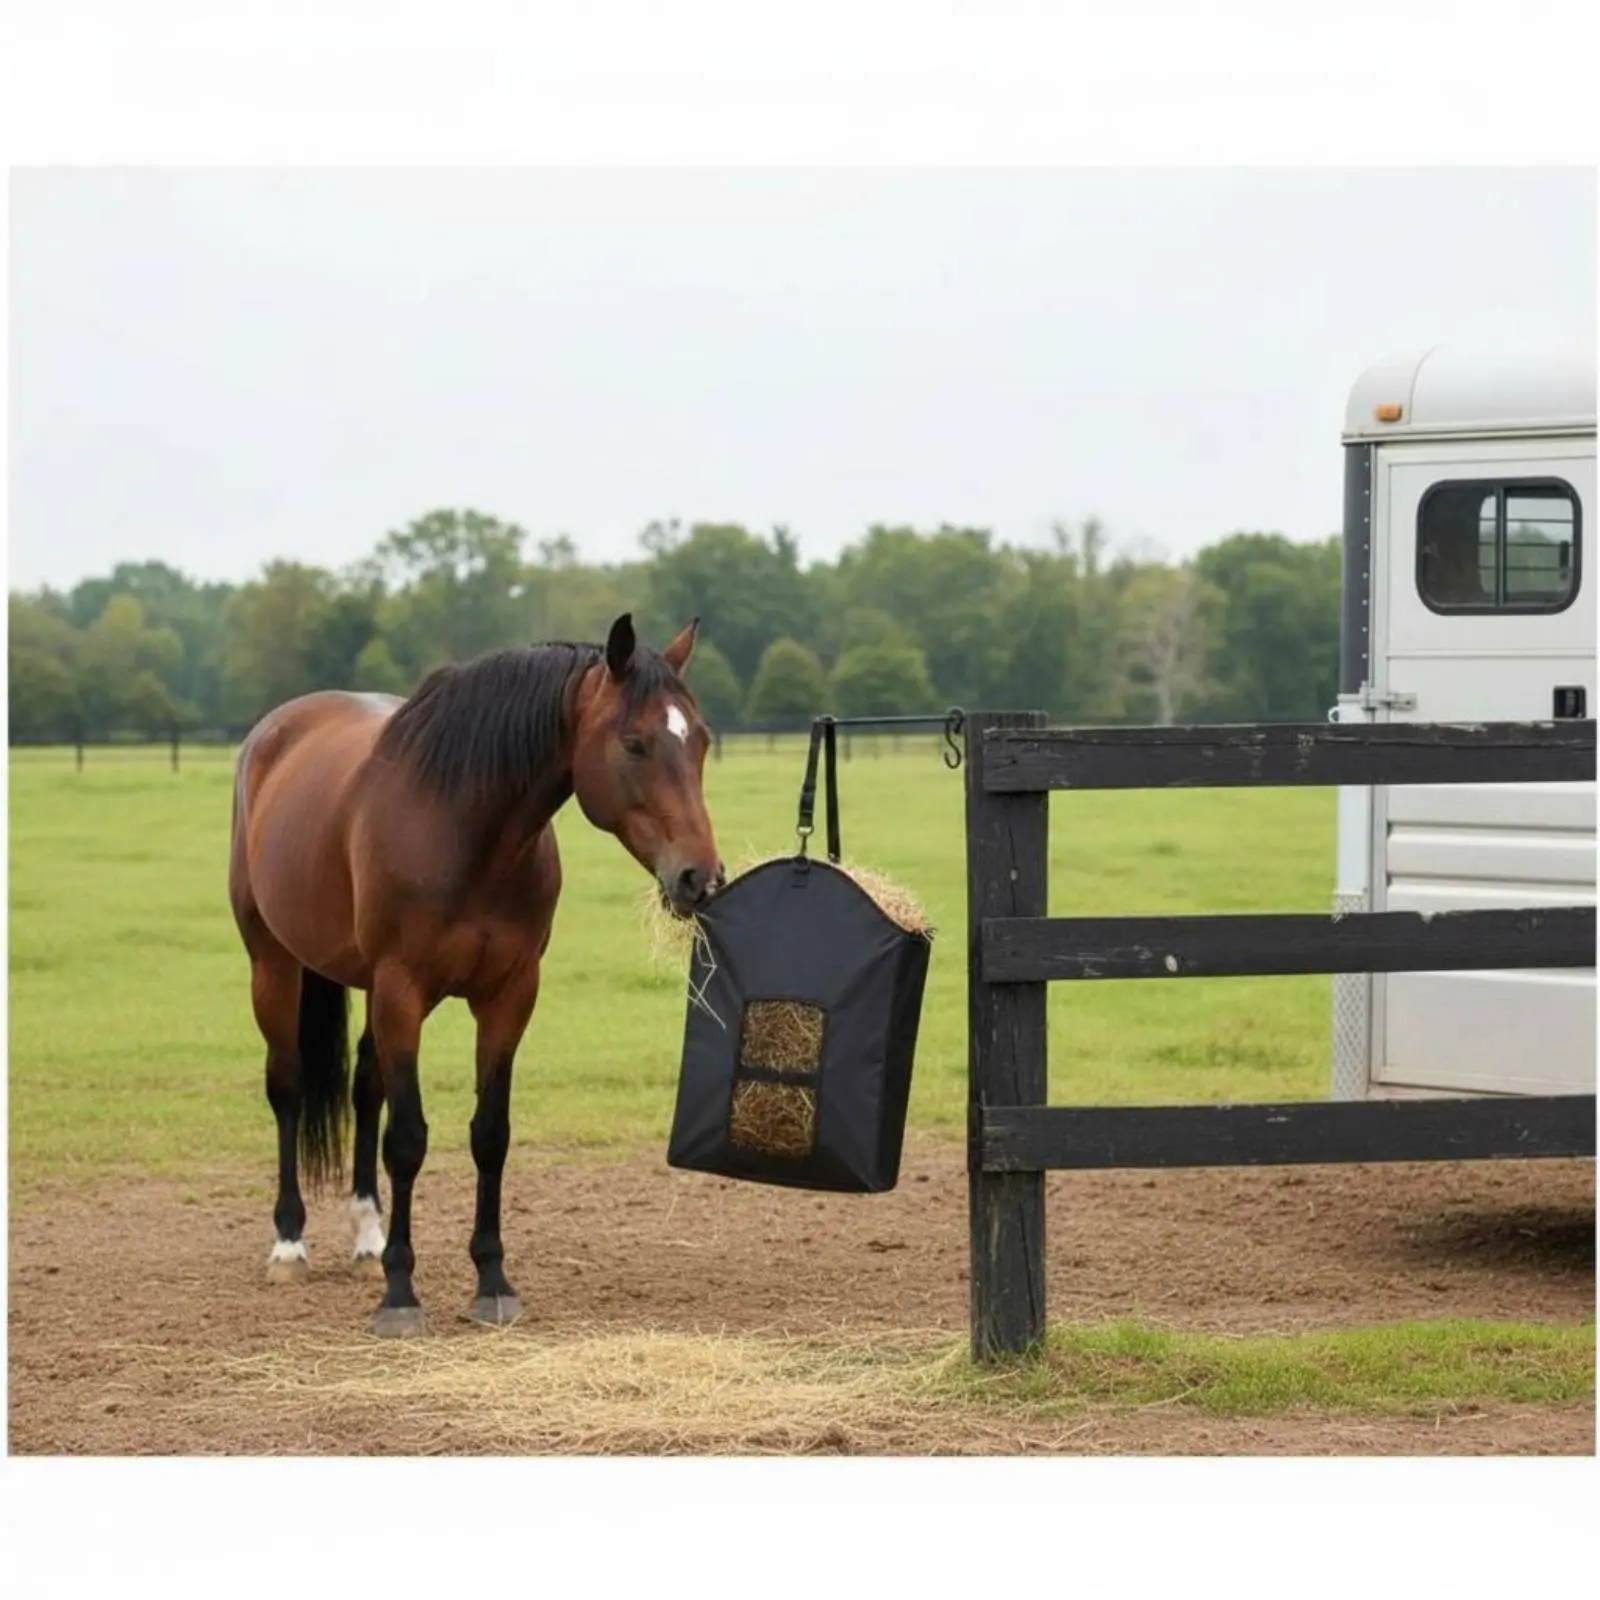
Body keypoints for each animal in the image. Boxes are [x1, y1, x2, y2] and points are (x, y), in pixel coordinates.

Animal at [227, 613, 724, 1336]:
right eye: (634, 743)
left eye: (702, 741)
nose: (699, 878)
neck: (465, 830)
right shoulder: (404, 990)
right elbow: (408, 1139)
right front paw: (400, 1294)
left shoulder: (509, 996)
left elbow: (490, 1135)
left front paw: (491, 1281)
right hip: (273, 964)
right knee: (288, 1088)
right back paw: (290, 1243)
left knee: (364, 1090)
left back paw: (368, 1236)